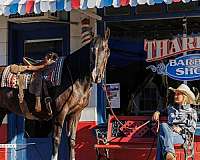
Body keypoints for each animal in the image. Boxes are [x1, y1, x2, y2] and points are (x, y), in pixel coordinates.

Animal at [0, 28, 110, 159]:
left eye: (106, 50)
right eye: (91, 50)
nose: (96, 76)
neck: (72, 76)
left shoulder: (75, 113)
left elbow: (72, 140)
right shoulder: (60, 113)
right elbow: (56, 140)